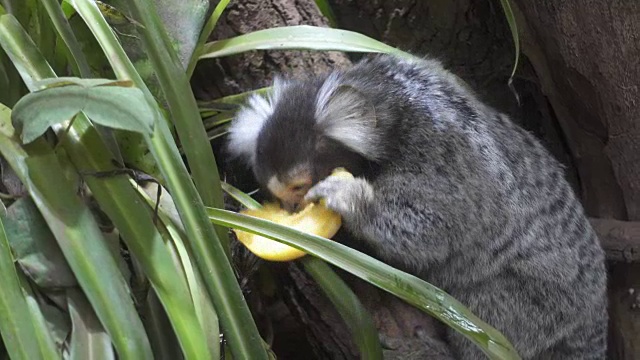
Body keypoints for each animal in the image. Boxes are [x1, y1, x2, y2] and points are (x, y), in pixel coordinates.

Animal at [228, 54, 608, 360]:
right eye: (278, 195)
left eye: (298, 187)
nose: (292, 209)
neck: (391, 106)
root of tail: (593, 322)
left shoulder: (446, 151)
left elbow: (436, 229)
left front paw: (351, 199)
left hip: (546, 305)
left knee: (489, 311)